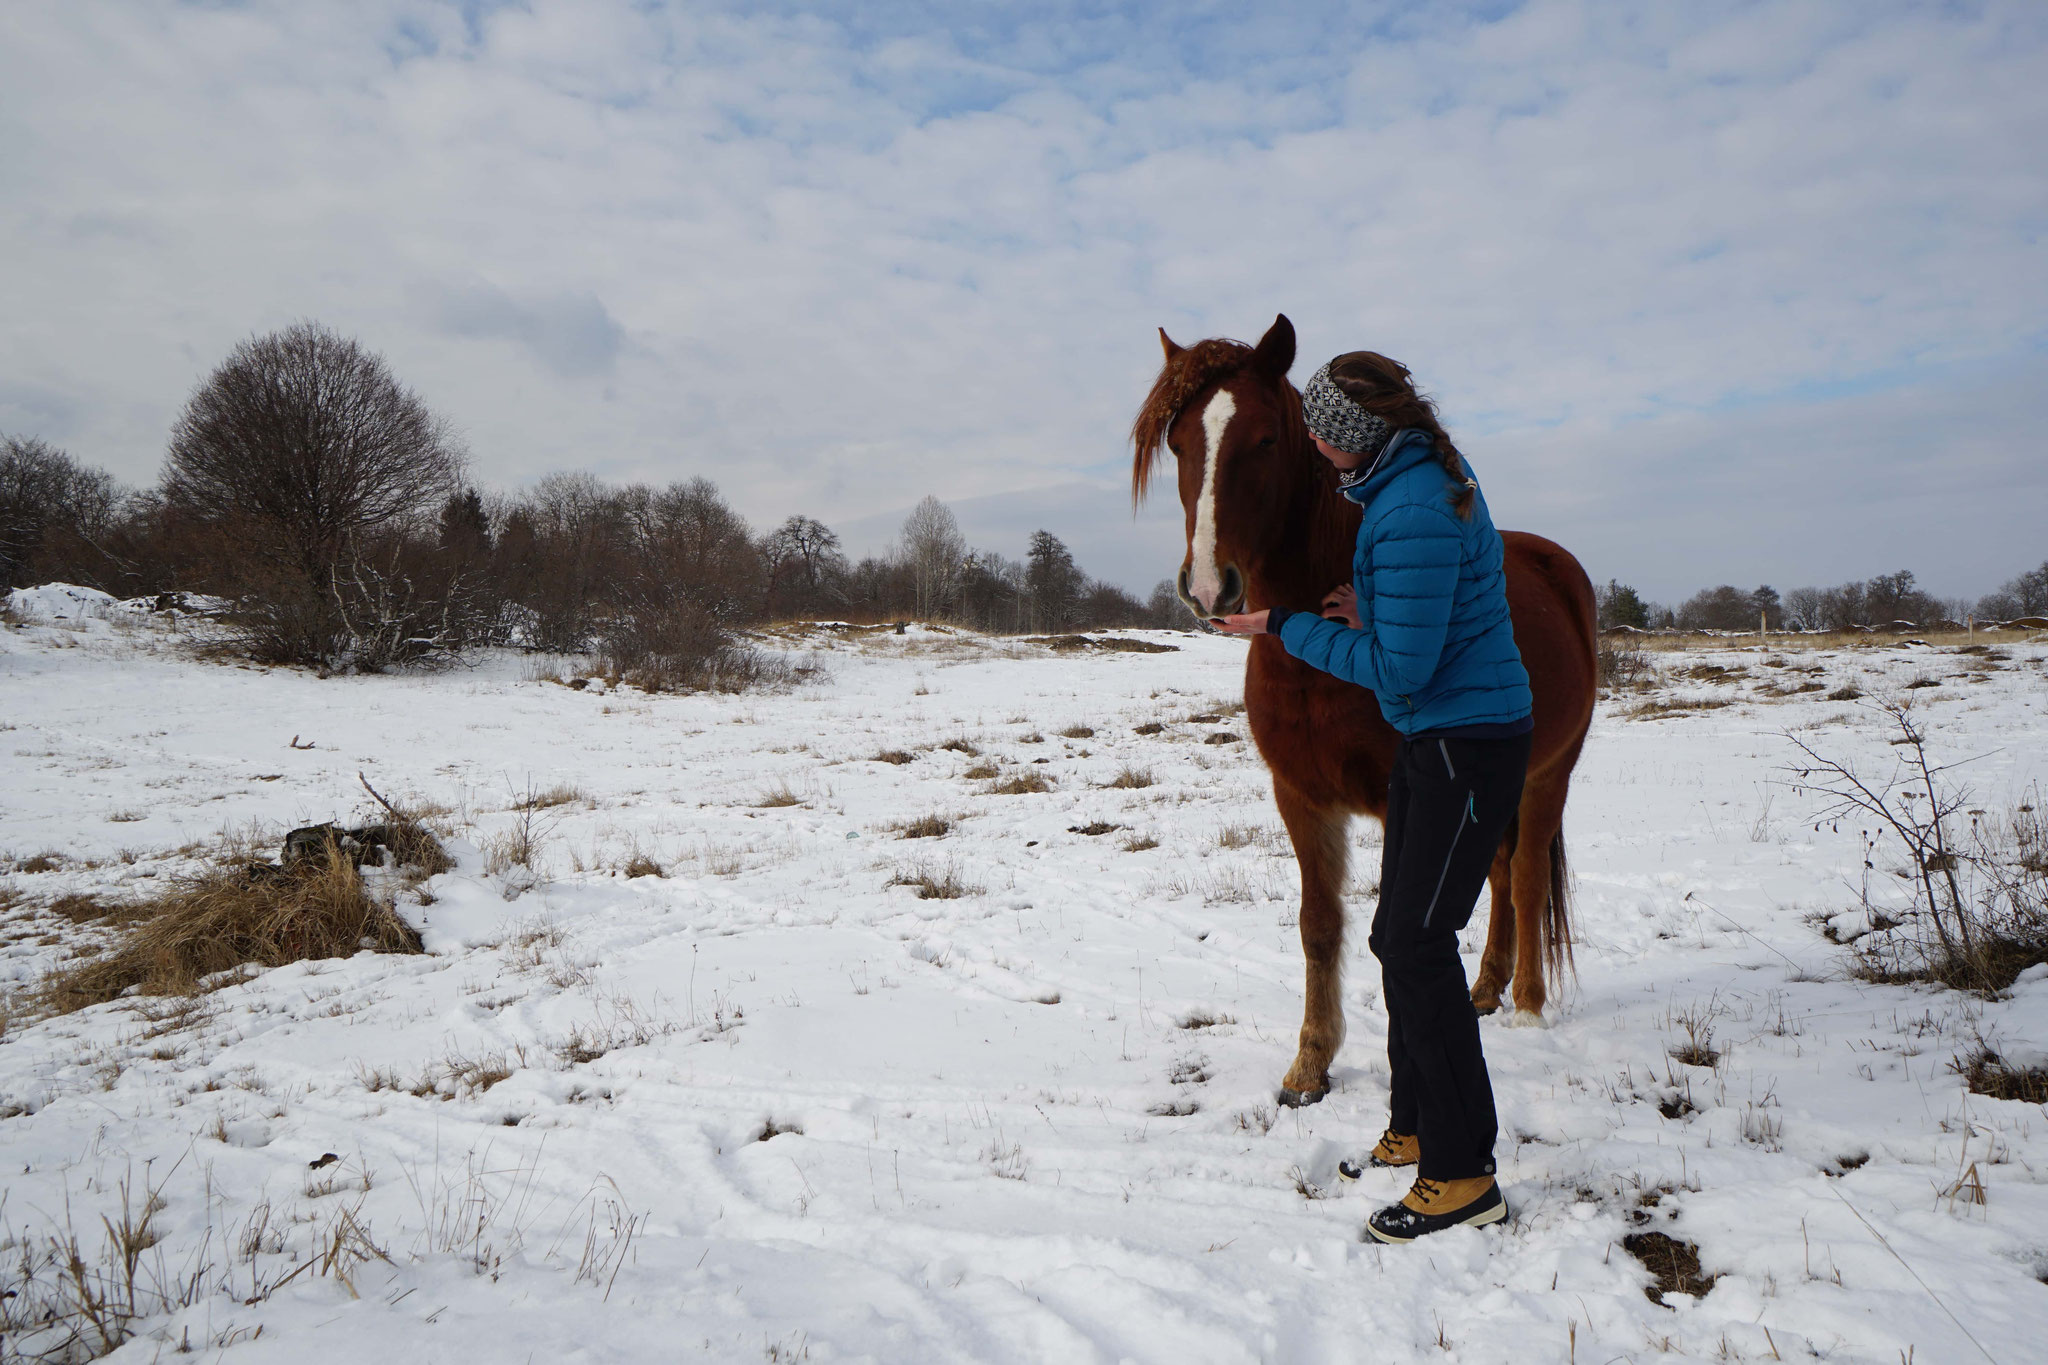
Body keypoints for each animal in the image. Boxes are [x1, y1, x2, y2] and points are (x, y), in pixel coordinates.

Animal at [1138, 315, 1597, 1105]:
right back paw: (1486, 988)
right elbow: (1320, 926)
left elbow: (1392, 930)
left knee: (1529, 872)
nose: (1206, 587)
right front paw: (1309, 1066)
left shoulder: (1396, 801)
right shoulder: (1299, 796)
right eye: (1179, 444)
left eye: (1266, 439)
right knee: (1501, 874)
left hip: (1548, 774)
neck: (1317, 664)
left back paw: (1529, 1006)